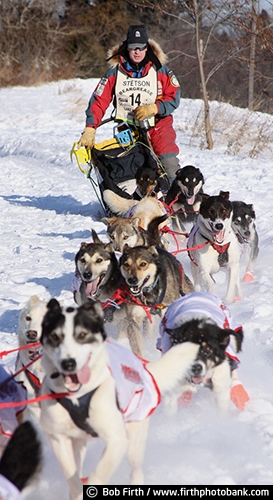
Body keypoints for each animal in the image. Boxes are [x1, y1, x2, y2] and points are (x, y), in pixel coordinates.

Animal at [39, 296, 199, 496]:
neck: (77, 397)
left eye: (82, 335)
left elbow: (99, 473)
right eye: (55, 336)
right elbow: (72, 477)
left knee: (136, 469)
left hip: (134, 442)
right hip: (79, 442)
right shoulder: (58, 438)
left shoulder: (116, 440)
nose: (68, 363)